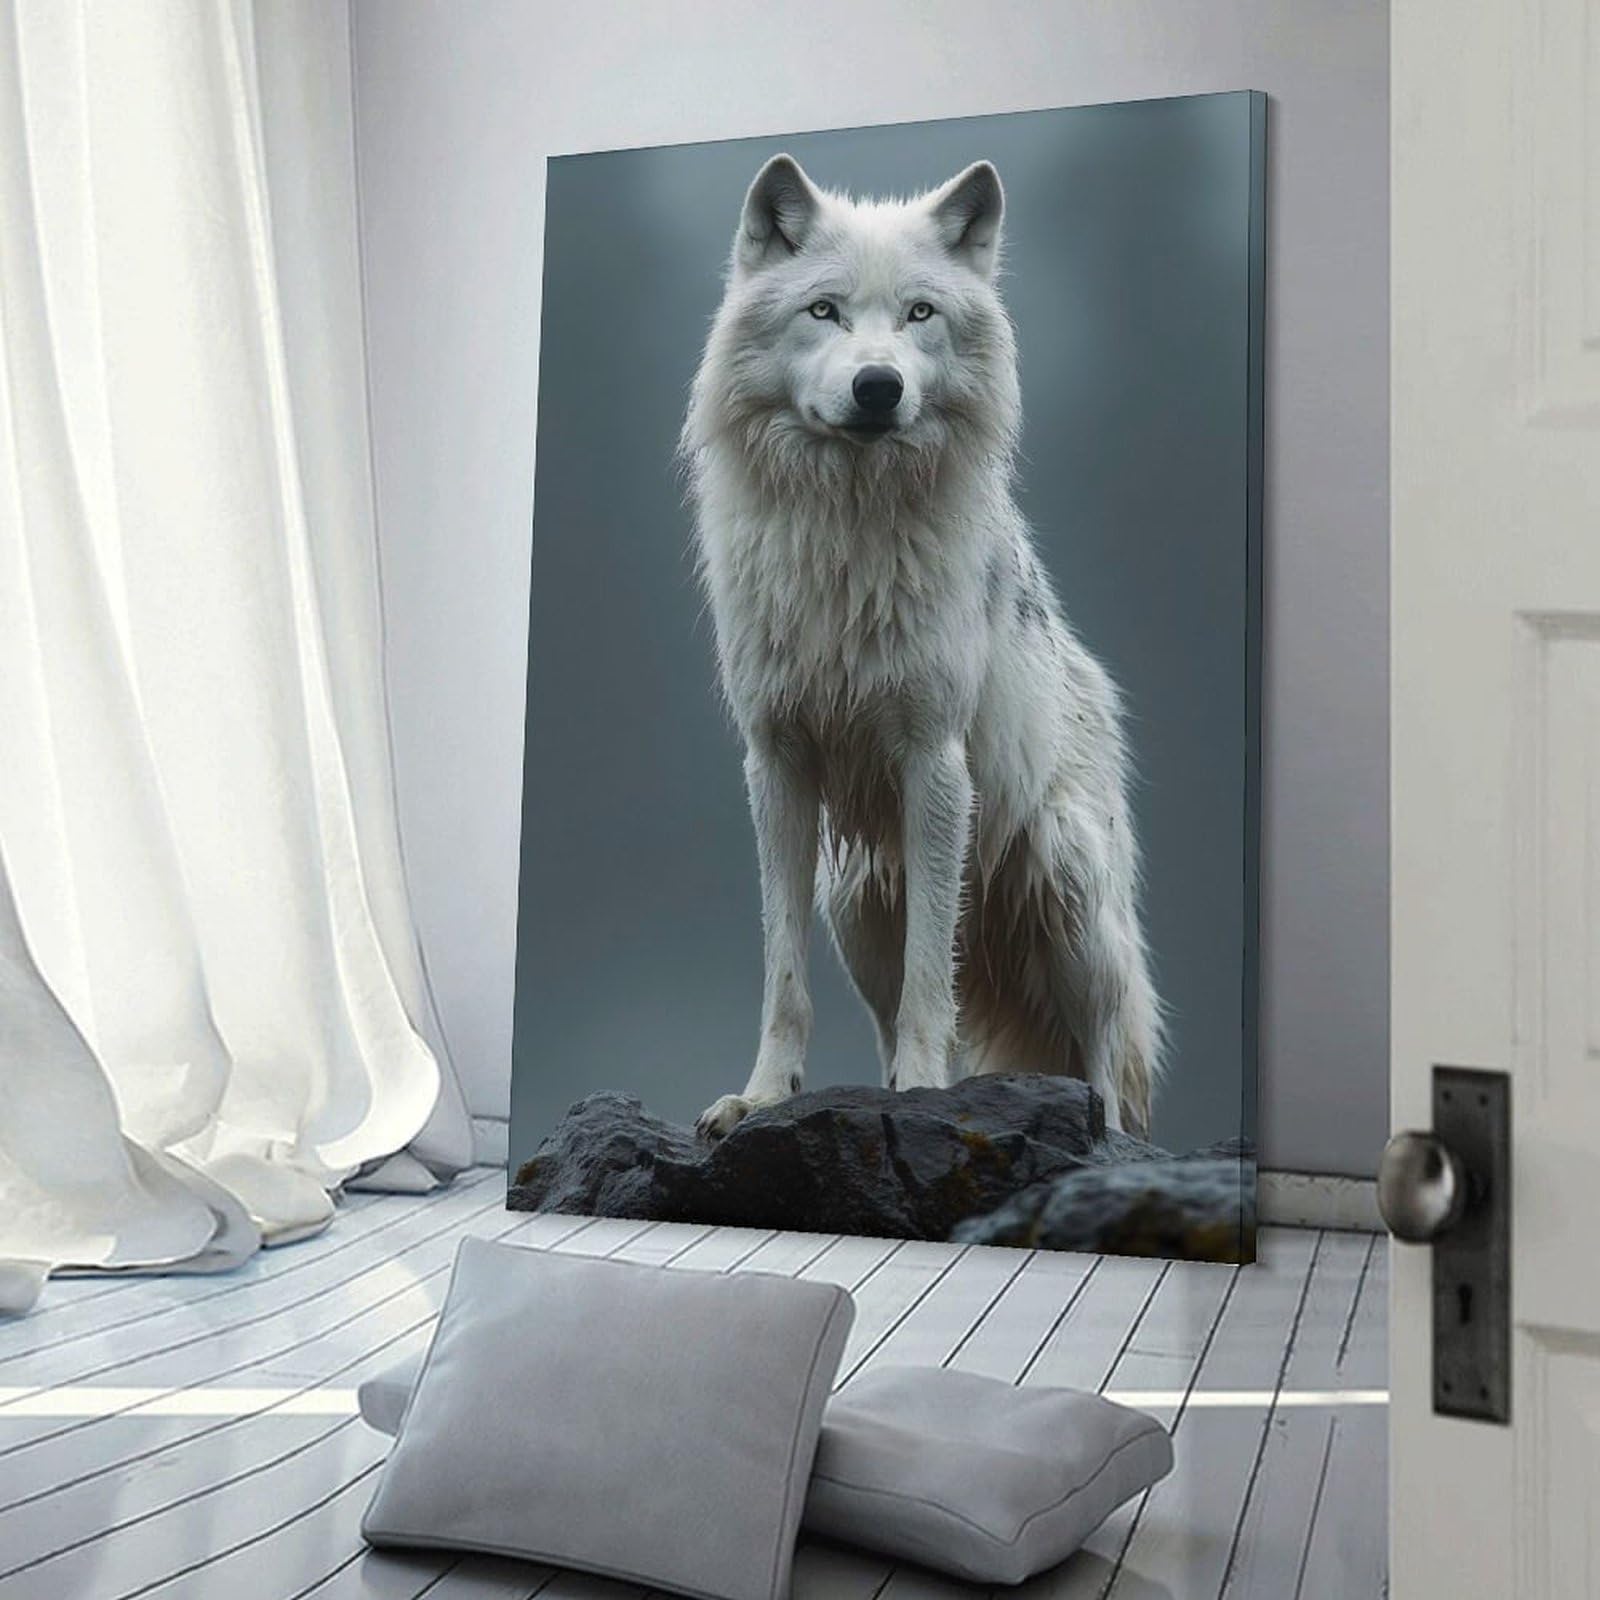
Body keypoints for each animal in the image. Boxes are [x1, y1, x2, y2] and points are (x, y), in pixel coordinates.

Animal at [680, 153, 1162, 1140]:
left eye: (919, 314)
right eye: (824, 310)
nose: (878, 386)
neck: (846, 537)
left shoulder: (933, 762)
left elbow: (929, 991)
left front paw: (926, 1093)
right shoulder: (776, 765)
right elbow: (783, 975)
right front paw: (762, 1096)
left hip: (1066, 881)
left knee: (1110, 1066)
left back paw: (1103, 1138)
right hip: (860, 902)